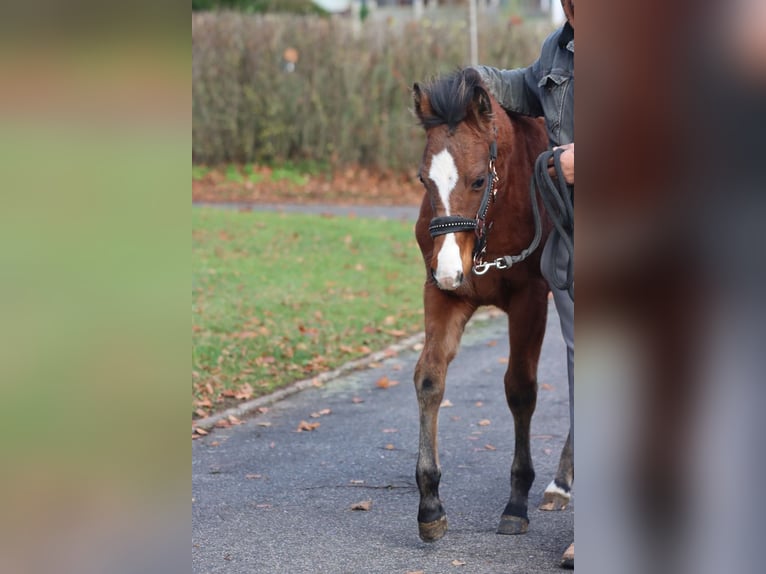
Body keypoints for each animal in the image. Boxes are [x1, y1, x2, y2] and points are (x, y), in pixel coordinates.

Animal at [411, 67, 573, 542]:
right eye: (424, 180)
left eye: (479, 180)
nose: (450, 268)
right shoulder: (442, 294)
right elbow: (429, 379)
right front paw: (430, 504)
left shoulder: (530, 300)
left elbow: (520, 389)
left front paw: (516, 500)